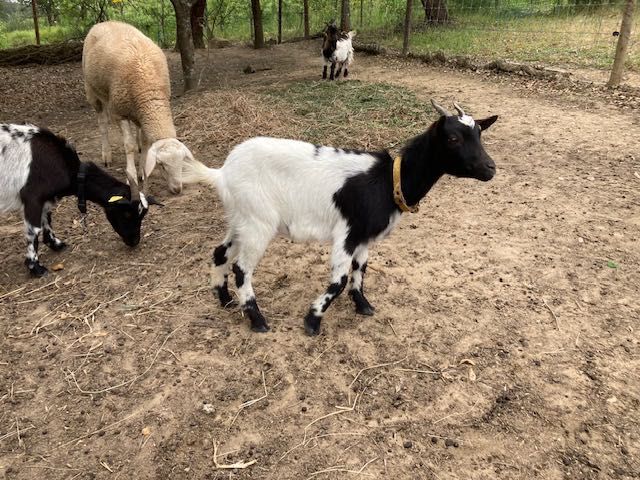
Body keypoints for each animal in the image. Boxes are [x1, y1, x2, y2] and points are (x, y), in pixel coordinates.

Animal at [0, 124, 160, 278]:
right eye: (126, 214)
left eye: (142, 215)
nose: (134, 241)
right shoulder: (32, 198)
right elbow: (34, 229)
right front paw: (35, 267)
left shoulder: (45, 199)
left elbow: (47, 218)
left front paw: (56, 244)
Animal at [81, 20, 190, 193]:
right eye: (162, 166)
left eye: (182, 162)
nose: (177, 189)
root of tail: (104, 22)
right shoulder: (119, 113)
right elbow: (129, 146)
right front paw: (131, 176)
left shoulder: (143, 112)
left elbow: (145, 143)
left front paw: (142, 171)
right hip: (92, 92)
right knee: (103, 124)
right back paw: (107, 155)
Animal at [170, 100, 500, 336]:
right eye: (453, 138)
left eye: (479, 134)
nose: (490, 168)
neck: (388, 181)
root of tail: (222, 173)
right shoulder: (348, 232)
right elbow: (339, 280)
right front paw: (312, 321)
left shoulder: (364, 236)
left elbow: (360, 271)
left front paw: (363, 305)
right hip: (257, 223)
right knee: (242, 268)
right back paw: (257, 319)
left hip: (240, 218)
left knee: (220, 253)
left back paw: (224, 299)